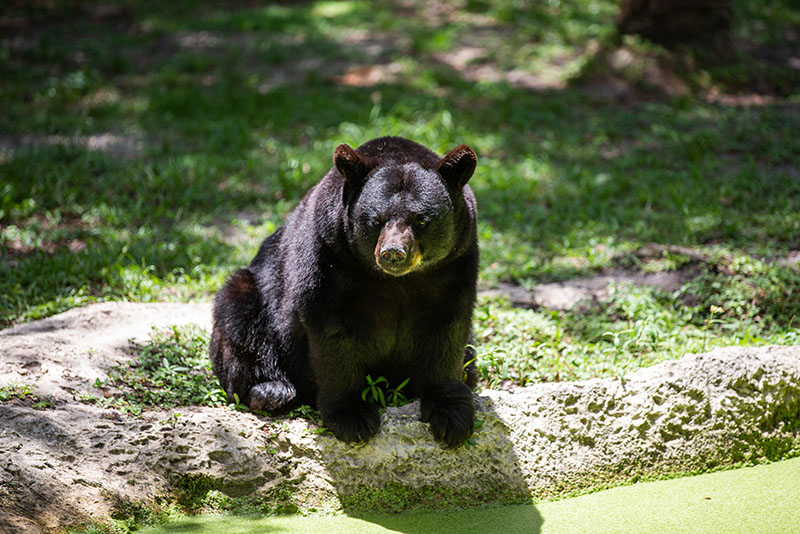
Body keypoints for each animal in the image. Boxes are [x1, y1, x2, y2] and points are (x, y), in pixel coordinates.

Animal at [210, 136, 479, 447]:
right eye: (376, 220)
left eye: (421, 220)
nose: (393, 253)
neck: (397, 280)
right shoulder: (329, 254)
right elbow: (332, 333)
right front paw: (352, 417)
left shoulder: (455, 265)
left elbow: (447, 329)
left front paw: (451, 415)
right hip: (255, 293)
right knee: (239, 319)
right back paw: (270, 391)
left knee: (469, 358)